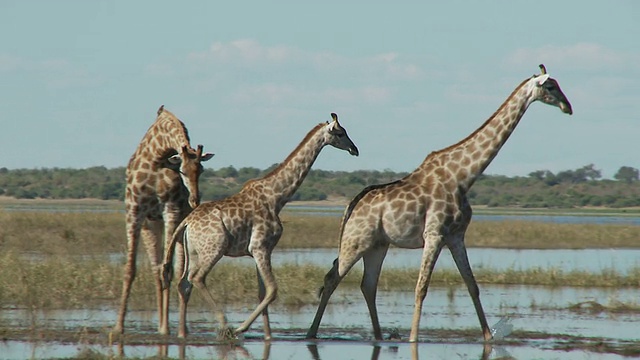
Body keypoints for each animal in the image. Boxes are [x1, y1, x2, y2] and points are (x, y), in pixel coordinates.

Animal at [113, 105, 215, 336]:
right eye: (182, 170)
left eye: (201, 170)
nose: (194, 200)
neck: (156, 157)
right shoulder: (134, 211)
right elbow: (131, 269)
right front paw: (118, 327)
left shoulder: (171, 210)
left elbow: (168, 270)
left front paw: (165, 328)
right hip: (151, 226)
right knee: (156, 269)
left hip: (180, 230)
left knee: (179, 272)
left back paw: (180, 327)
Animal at [161, 114, 360, 338]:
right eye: (340, 133)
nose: (354, 149)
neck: (277, 197)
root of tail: (186, 222)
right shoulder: (260, 247)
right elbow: (273, 290)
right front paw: (242, 328)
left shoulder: (261, 250)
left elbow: (262, 292)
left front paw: (268, 336)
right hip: (214, 248)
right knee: (197, 278)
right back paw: (226, 326)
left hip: (194, 252)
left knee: (184, 283)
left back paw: (182, 334)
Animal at [308, 64, 572, 344]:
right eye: (550, 86)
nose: (568, 107)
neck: (463, 177)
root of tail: (350, 207)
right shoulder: (434, 234)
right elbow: (421, 288)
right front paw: (414, 338)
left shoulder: (456, 236)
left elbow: (472, 285)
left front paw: (488, 337)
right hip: (356, 241)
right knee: (332, 277)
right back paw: (312, 332)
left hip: (377, 245)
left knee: (368, 285)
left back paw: (378, 336)